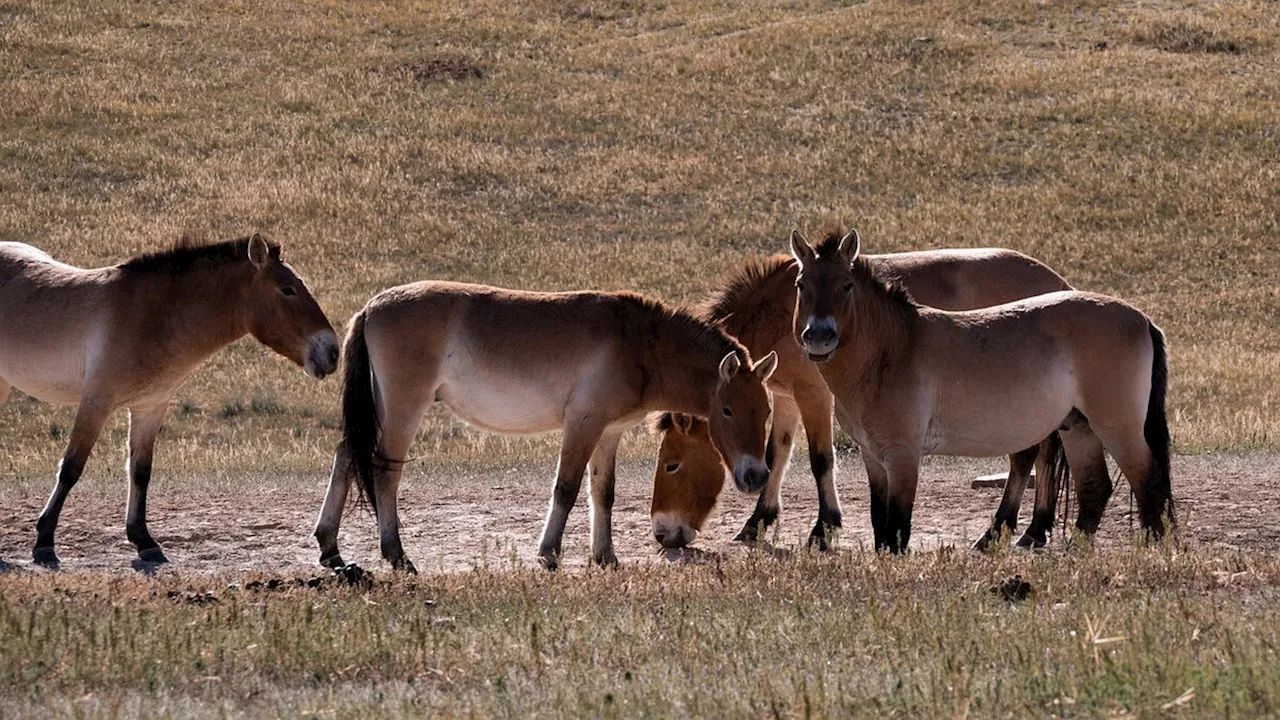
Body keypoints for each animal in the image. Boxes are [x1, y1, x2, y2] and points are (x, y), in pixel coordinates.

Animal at [0, 235, 340, 566]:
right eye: (288, 290)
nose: (333, 352)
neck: (152, 316)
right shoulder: (96, 402)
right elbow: (71, 468)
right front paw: (44, 541)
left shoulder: (150, 408)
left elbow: (140, 471)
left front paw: (144, 541)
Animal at [313, 280, 773, 571]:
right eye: (728, 410)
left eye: (766, 411)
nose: (756, 476)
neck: (639, 343)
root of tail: (371, 308)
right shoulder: (582, 425)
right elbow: (566, 489)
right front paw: (549, 553)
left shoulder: (608, 433)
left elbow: (603, 494)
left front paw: (605, 557)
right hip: (403, 409)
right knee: (383, 471)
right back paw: (397, 555)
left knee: (345, 457)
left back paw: (330, 548)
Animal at [650, 245, 1080, 548]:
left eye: (672, 463)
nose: (663, 534)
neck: (781, 311)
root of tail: (1060, 285)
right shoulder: (783, 397)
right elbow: (776, 455)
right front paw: (758, 521)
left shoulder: (814, 396)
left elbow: (820, 460)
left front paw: (824, 528)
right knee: (1042, 455)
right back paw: (1035, 529)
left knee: (1033, 456)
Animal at [788, 229, 1172, 548]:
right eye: (801, 284)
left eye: (846, 285)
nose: (819, 336)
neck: (894, 350)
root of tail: (1142, 319)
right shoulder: (872, 457)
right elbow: (880, 525)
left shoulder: (903, 456)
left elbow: (897, 529)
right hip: (1078, 428)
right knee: (1095, 490)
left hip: (1117, 429)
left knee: (1147, 480)